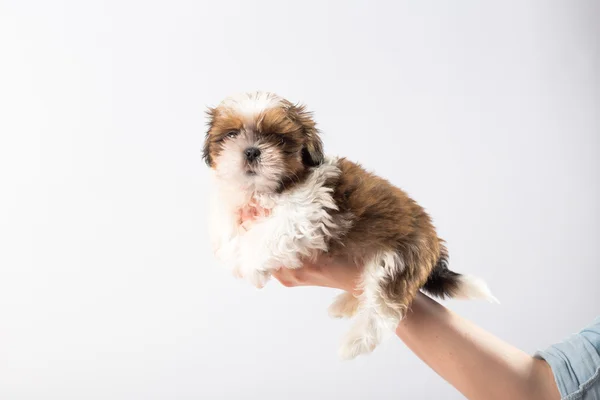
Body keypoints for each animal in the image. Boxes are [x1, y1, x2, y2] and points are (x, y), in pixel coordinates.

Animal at [203, 93, 496, 360]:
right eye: (231, 134)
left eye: (278, 138)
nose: (252, 150)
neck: (273, 187)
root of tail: (434, 242)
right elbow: (226, 220)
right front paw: (229, 246)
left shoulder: (306, 211)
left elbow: (273, 230)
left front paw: (250, 264)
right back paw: (346, 303)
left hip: (396, 259)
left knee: (383, 310)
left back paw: (355, 342)